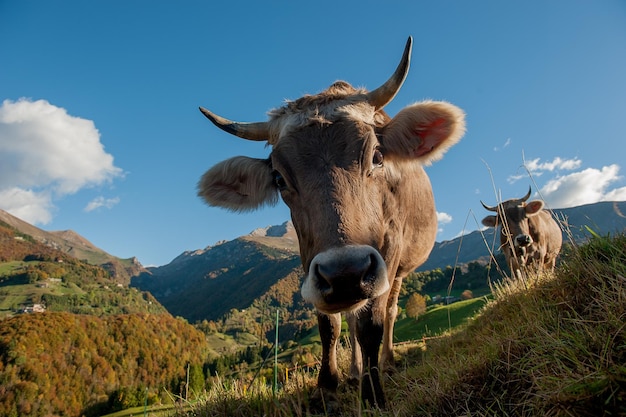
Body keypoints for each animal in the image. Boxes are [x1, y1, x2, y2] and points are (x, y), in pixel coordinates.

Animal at [195, 37, 464, 408]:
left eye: (377, 156)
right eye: (279, 178)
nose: (345, 273)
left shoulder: (389, 250)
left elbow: (371, 325)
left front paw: (373, 393)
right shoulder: (309, 258)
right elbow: (330, 326)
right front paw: (327, 387)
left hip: (398, 270)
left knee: (390, 310)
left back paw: (387, 363)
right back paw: (353, 371)